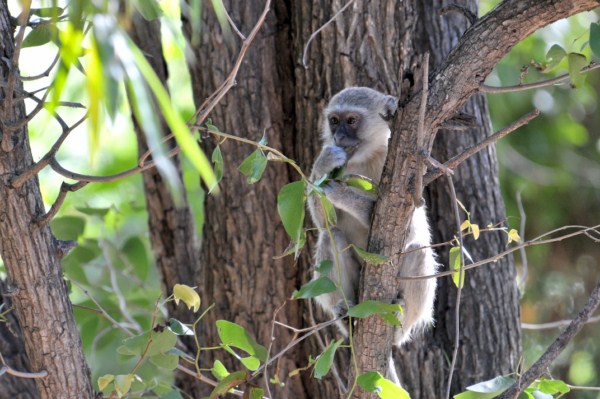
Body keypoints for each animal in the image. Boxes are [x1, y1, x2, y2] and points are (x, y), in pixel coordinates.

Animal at [310, 86, 436, 346]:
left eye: (351, 120)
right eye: (334, 121)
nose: (338, 137)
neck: (365, 158)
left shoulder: (409, 172)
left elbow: (410, 229)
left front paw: (342, 193)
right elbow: (324, 223)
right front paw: (324, 163)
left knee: (417, 249)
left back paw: (397, 331)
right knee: (331, 235)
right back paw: (346, 316)